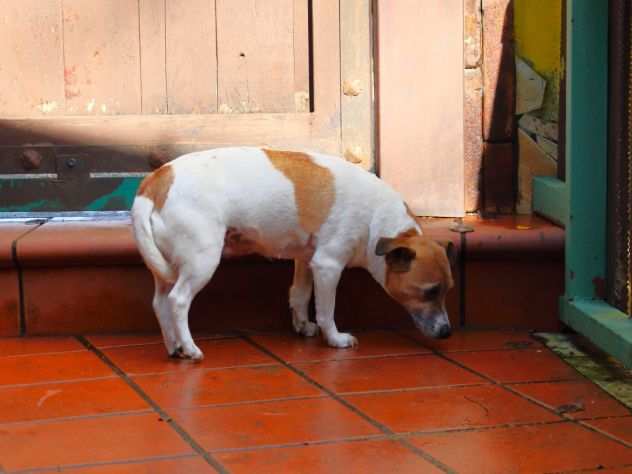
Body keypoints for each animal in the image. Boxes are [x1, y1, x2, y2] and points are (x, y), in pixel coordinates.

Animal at [131, 146, 454, 362]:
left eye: (447, 290)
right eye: (429, 291)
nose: (448, 332)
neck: (378, 221)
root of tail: (155, 181)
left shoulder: (306, 260)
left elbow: (299, 295)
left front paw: (302, 326)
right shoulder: (328, 266)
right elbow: (326, 310)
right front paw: (334, 339)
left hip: (167, 268)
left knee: (160, 303)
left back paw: (175, 347)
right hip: (202, 261)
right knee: (178, 301)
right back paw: (190, 348)